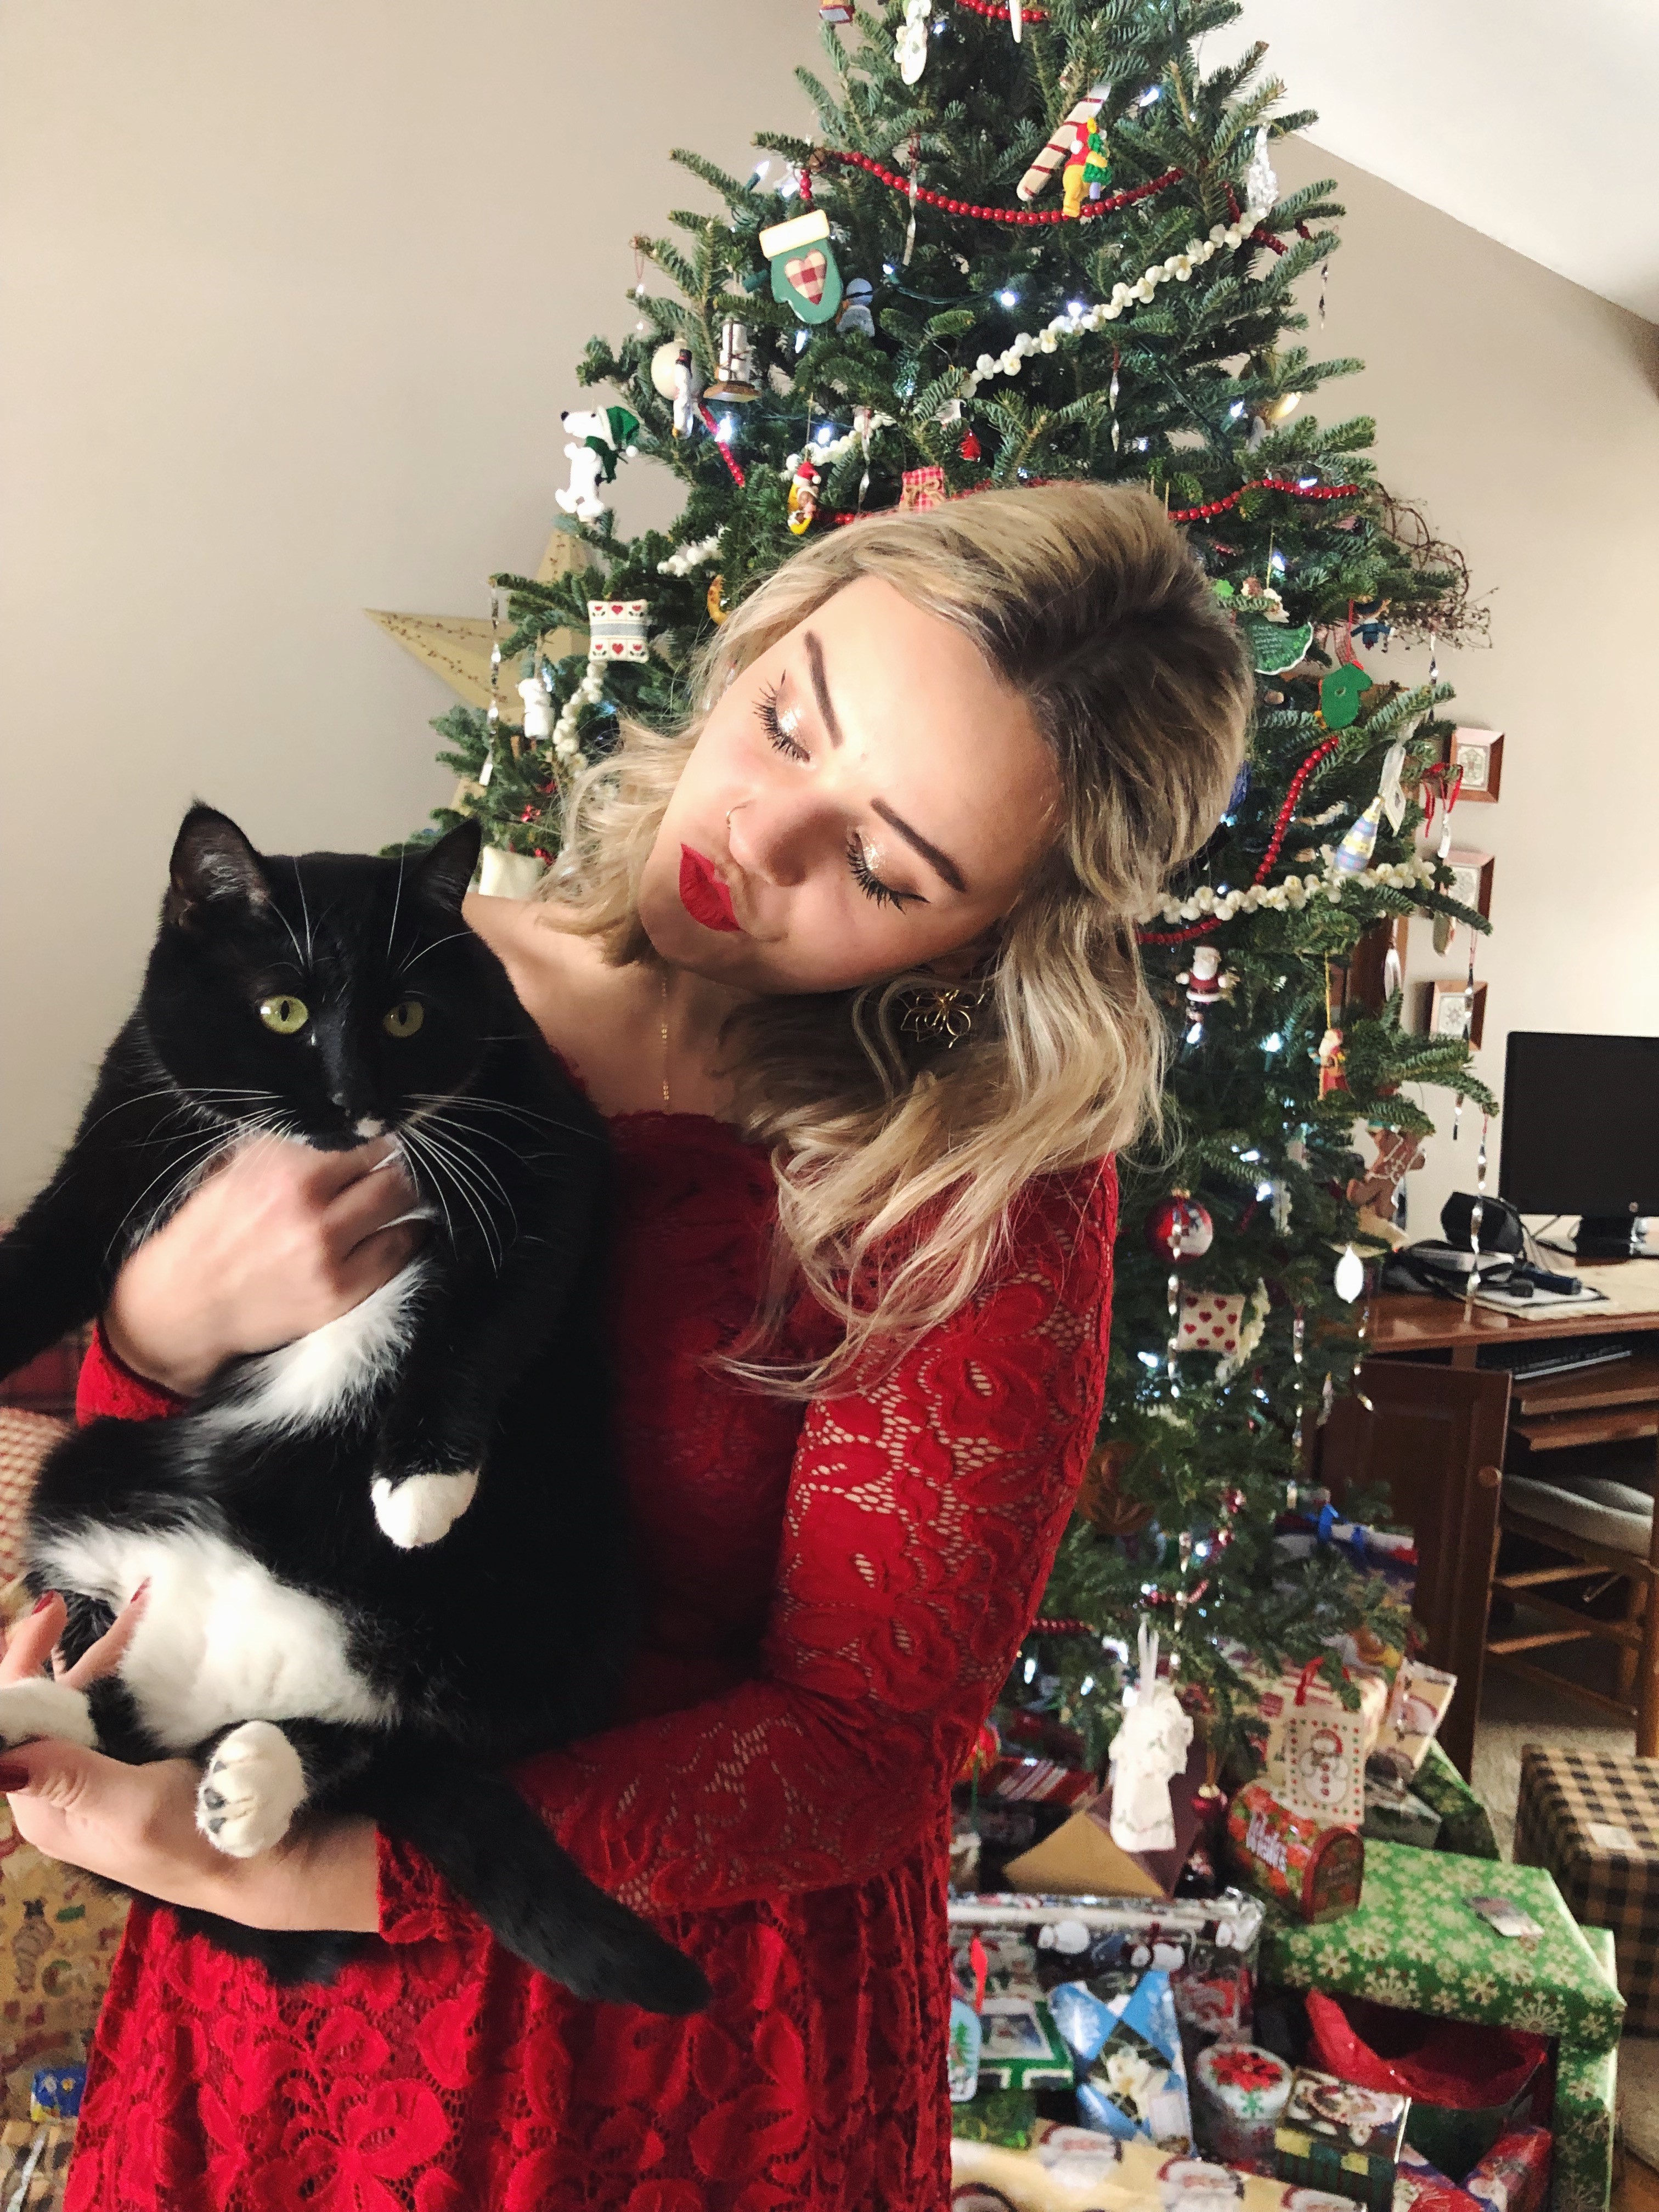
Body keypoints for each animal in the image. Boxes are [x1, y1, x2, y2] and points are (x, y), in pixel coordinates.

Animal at [0, 805, 708, 2017]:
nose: (351, 1099)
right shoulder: (124, 1127)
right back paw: (38, 1714)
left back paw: (253, 1778)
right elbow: (42, 1247)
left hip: (564, 1623)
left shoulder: (546, 1147)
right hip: (88, 1464)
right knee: (125, 1723)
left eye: (406, 1014)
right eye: (281, 1011)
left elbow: (486, 1319)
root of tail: (240, 1656)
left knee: (376, 1750)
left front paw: (421, 1485)